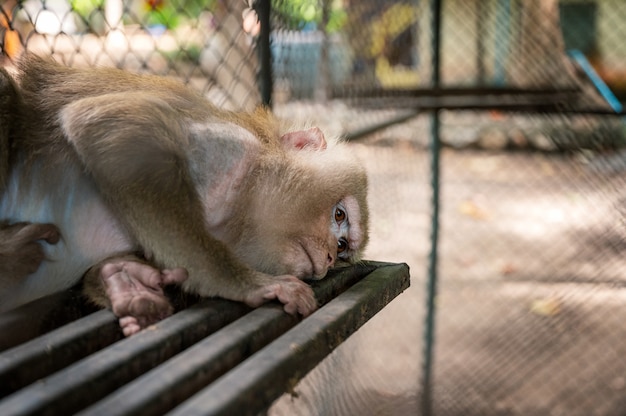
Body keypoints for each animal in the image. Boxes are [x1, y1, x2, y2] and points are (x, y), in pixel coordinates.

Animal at [0, 54, 368, 334]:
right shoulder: (231, 147)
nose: (330, 257)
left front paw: (124, 282)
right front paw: (248, 284)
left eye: (342, 247)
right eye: (339, 215)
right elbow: (111, 126)